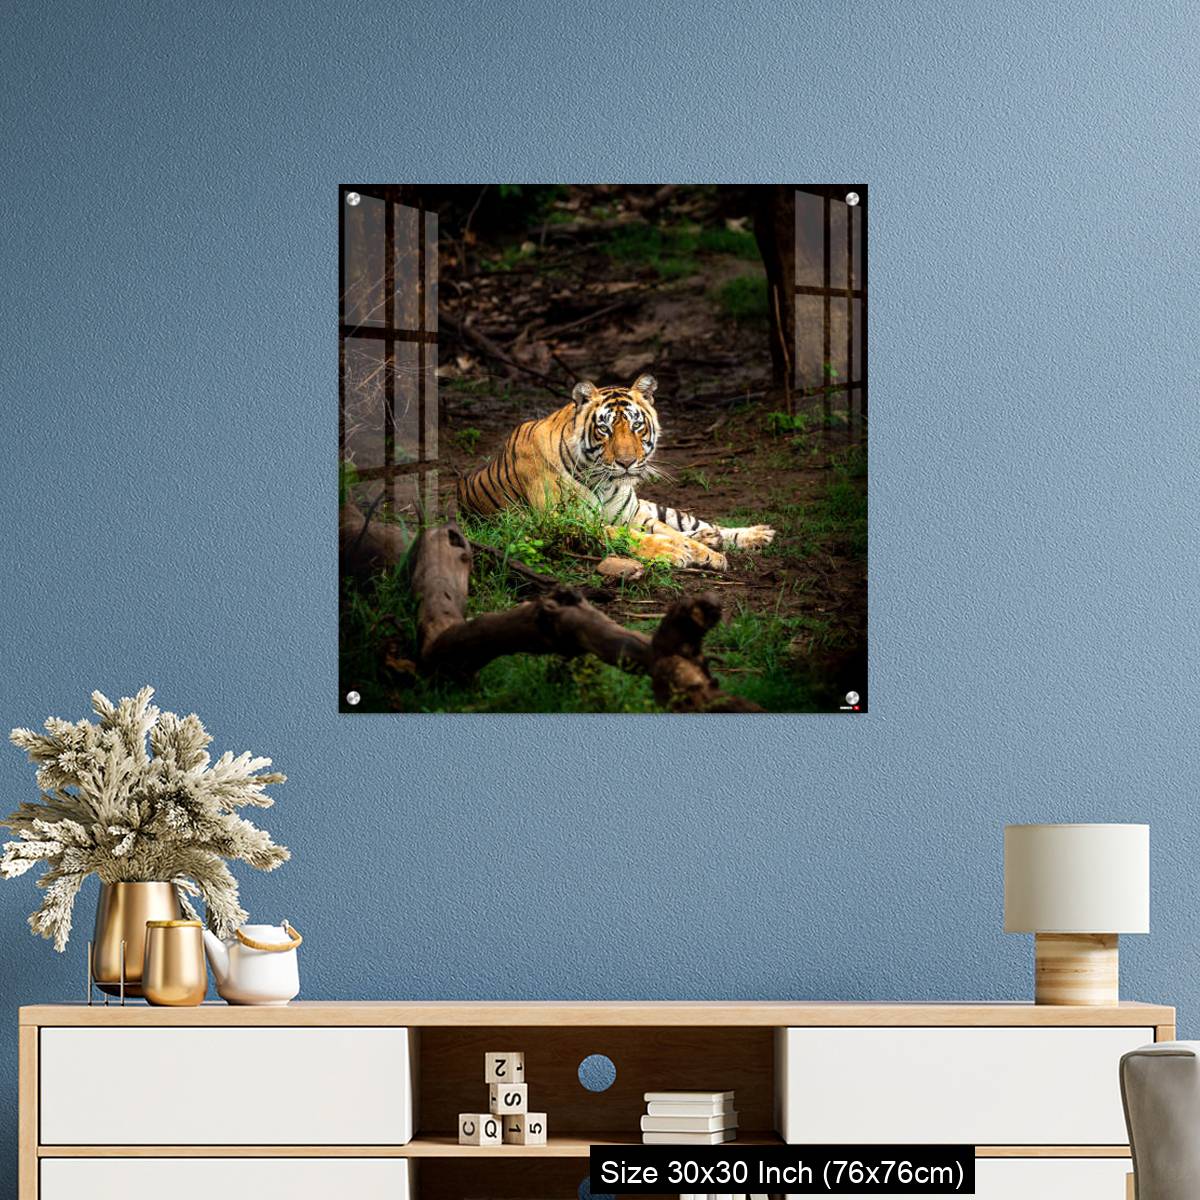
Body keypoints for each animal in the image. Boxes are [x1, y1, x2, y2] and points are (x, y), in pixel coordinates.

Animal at [455, 374, 775, 571]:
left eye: (636, 425)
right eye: (605, 429)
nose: (626, 462)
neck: (604, 482)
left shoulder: (634, 515)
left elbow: (670, 531)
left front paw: (708, 554)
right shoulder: (569, 522)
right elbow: (633, 537)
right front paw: (674, 552)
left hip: (652, 507)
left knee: (694, 523)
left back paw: (754, 534)